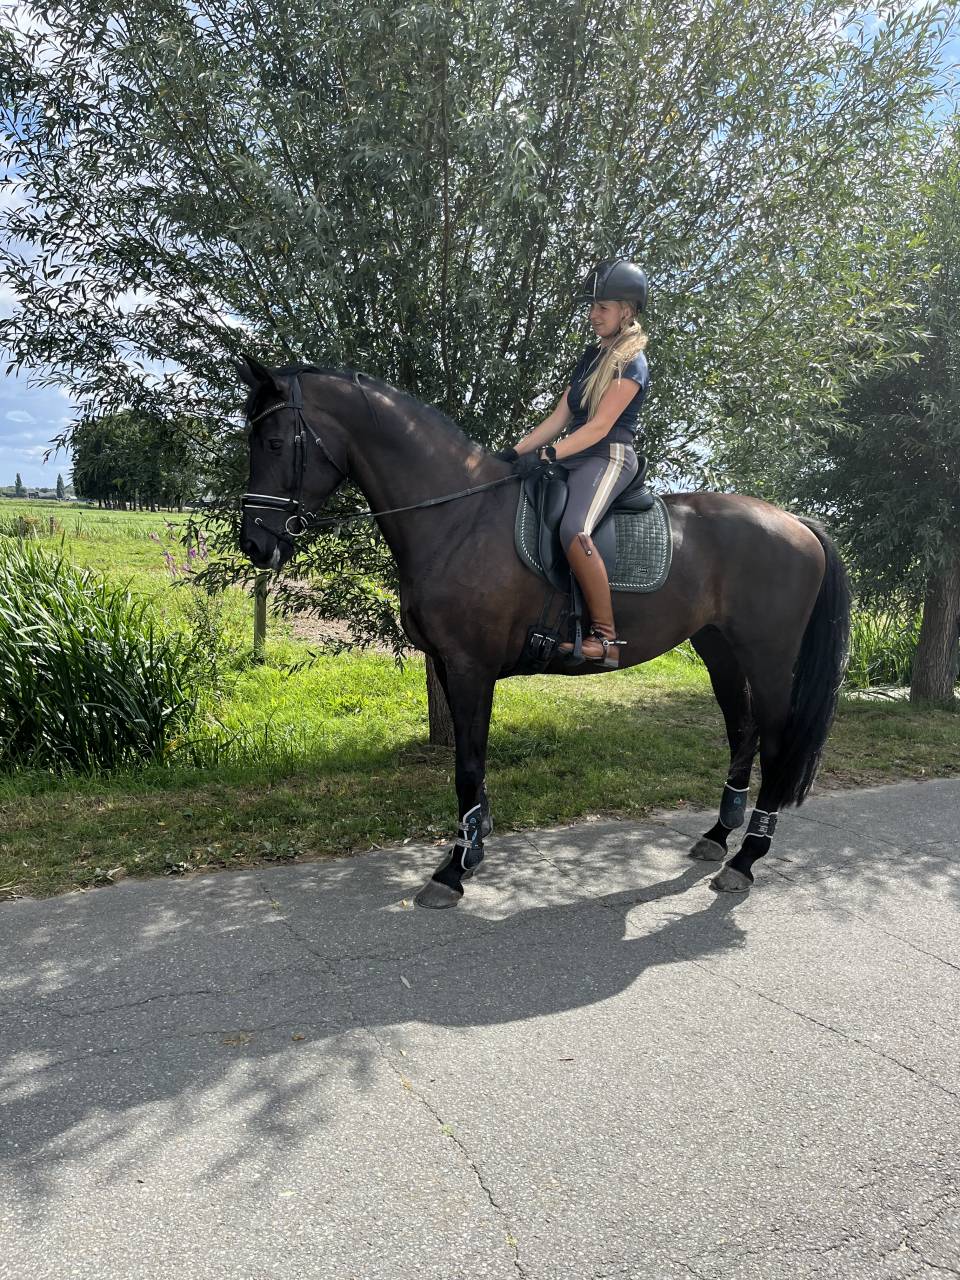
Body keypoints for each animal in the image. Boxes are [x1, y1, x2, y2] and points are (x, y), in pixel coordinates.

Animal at [236, 355, 851, 909]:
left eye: (273, 443)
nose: (255, 545)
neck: (460, 518)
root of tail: (796, 522)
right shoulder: (451, 667)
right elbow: (472, 765)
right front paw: (473, 846)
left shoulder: (470, 667)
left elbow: (467, 767)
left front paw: (453, 870)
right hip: (719, 648)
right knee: (742, 732)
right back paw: (718, 837)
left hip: (768, 656)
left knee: (774, 740)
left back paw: (745, 860)